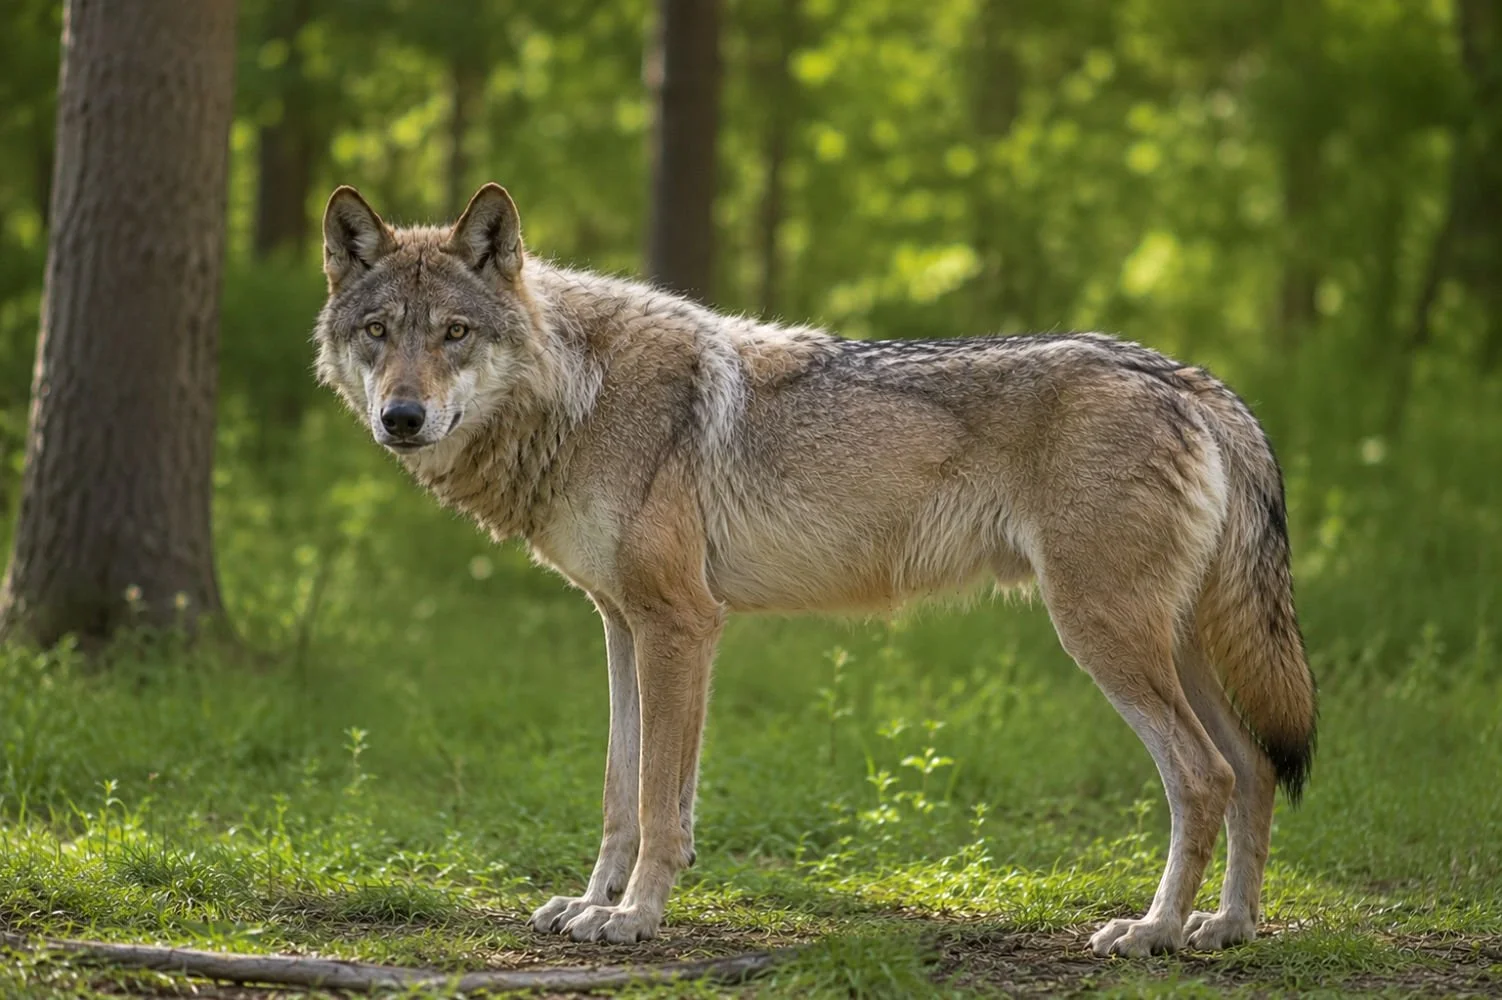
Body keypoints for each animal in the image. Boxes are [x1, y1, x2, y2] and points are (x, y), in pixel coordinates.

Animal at [313, 183, 1317, 957]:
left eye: (453, 333)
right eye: (378, 332)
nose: (402, 418)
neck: (576, 395)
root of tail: (1187, 379)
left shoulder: (682, 625)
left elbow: (660, 806)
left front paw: (634, 918)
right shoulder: (620, 624)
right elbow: (617, 794)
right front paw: (590, 903)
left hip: (1102, 637)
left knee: (1205, 776)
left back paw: (1151, 933)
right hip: (1170, 646)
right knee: (1254, 767)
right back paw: (1227, 928)